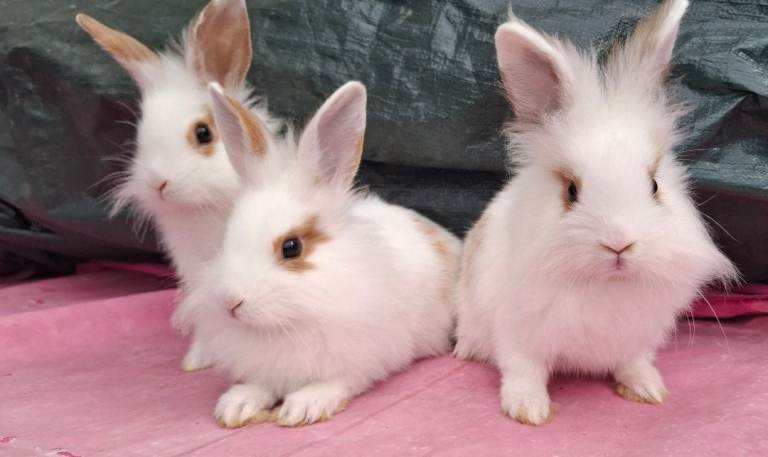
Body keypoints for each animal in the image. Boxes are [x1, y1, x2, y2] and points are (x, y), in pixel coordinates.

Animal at [174, 81, 461, 427]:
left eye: (291, 247)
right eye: (226, 237)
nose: (231, 302)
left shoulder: (363, 356)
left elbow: (337, 381)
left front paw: (304, 405)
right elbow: (261, 384)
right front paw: (236, 404)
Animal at [454, 0, 737, 426]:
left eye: (654, 185)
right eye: (571, 190)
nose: (619, 244)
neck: (604, 284)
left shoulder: (636, 336)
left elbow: (632, 362)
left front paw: (648, 389)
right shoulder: (517, 332)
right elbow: (523, 370)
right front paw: (528, 409)